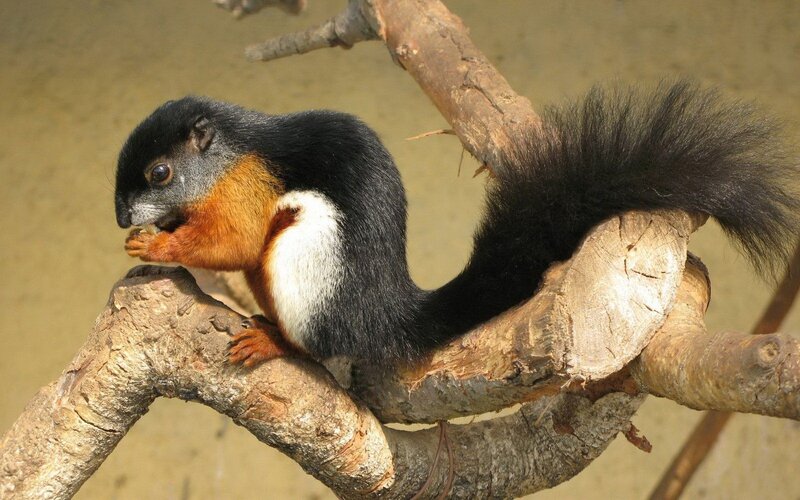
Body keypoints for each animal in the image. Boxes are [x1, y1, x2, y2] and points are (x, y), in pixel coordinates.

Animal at [115, 81, 800, 366]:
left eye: (159, 173)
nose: (121, 214)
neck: (230, 153)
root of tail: (383, 319)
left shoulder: (249, 187)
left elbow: (233, 240)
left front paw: (156, 241)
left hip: (302, 268)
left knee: (323, 345)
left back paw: (274, 342)